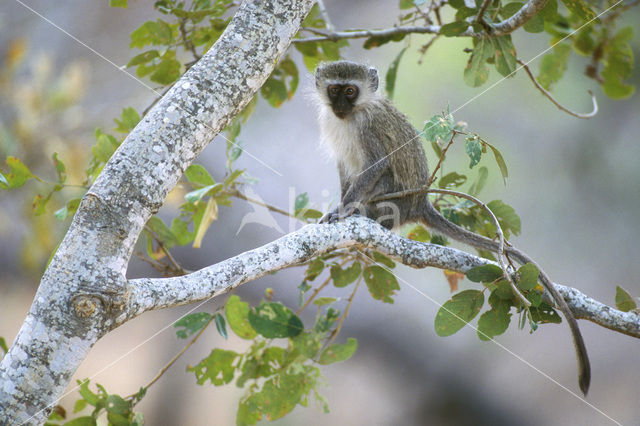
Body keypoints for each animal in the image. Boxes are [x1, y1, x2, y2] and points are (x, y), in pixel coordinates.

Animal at [312, 60, 592, 396]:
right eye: (335, 90)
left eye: (351, 91)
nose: (341, 106)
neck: (352, 115)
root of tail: (419, 204)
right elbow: (345, 170)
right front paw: (339, 205)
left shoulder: (368, 128)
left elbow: (377, 164)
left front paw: (343, 209)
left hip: (396, 201)